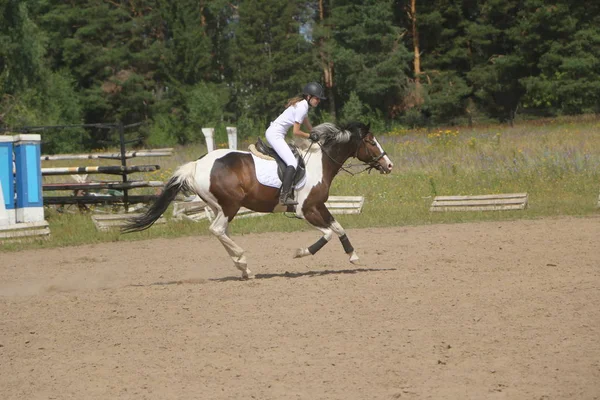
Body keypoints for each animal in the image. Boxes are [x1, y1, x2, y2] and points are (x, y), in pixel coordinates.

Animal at [122, 120, 394, 280]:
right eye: (370, 141)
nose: (389, 165)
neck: (320, 162)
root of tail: (196, 165)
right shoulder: (306, 210)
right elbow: (327, 233)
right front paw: (301, 252)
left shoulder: (319, 205)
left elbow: (338, 227)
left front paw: (353, 255)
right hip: (230, 205)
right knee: (217, 229)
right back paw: (243, 260)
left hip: (218, 206)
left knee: (222, 232)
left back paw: (243, 268)